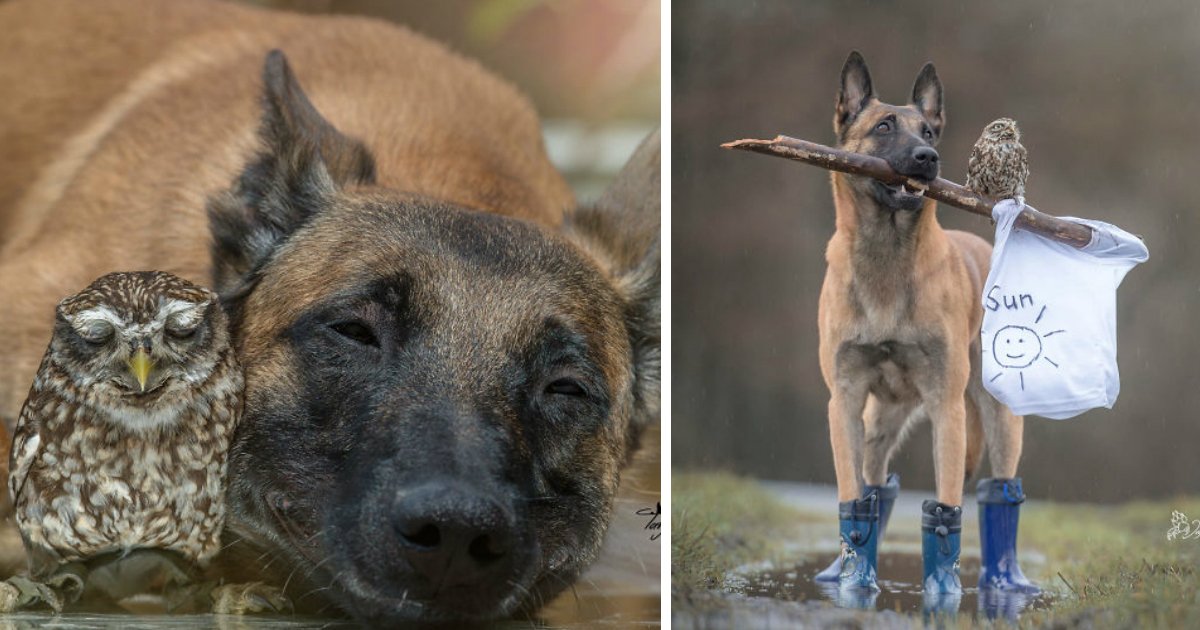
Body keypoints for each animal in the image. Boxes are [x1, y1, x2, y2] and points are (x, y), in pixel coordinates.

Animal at [816, 51, 1041, 602]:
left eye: (930, 132)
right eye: (883, 126)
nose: (927, 158)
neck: (887, 256)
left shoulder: (946, 406)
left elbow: (946, 506)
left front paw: (944, 586)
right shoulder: (845, 399)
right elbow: (853, 497)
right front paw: (854, 577)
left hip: (999, 419)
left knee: (1001, 490)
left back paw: (1006, 580)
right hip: (879, 421)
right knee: (876, 484)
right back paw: (843, 569)